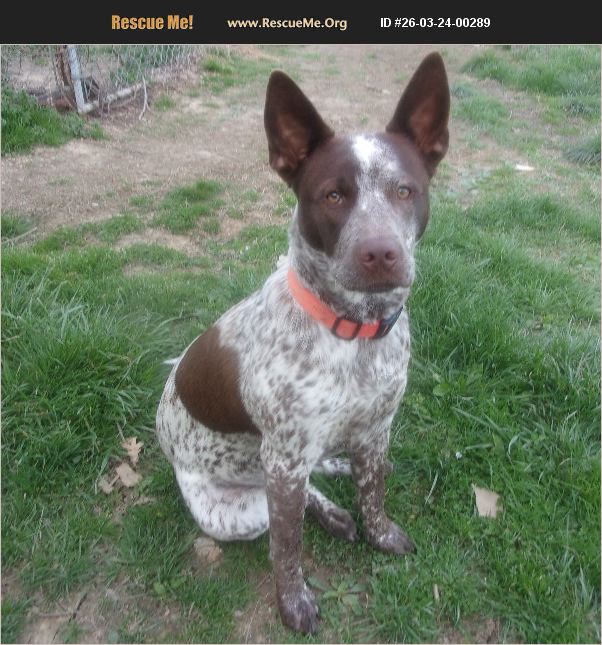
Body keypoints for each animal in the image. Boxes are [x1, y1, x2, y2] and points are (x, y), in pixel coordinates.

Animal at [156, 52, 450, 634]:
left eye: (405, 190)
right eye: (333, 195)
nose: (380, 254)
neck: (355, 331)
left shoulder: (376, 429)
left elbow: (373, 494)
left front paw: (379, 532)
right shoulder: (286, 458)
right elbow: (287, 548)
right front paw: (293, 602)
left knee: (320, 478)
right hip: (240, 508)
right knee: (282, 512)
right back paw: (329, 511)